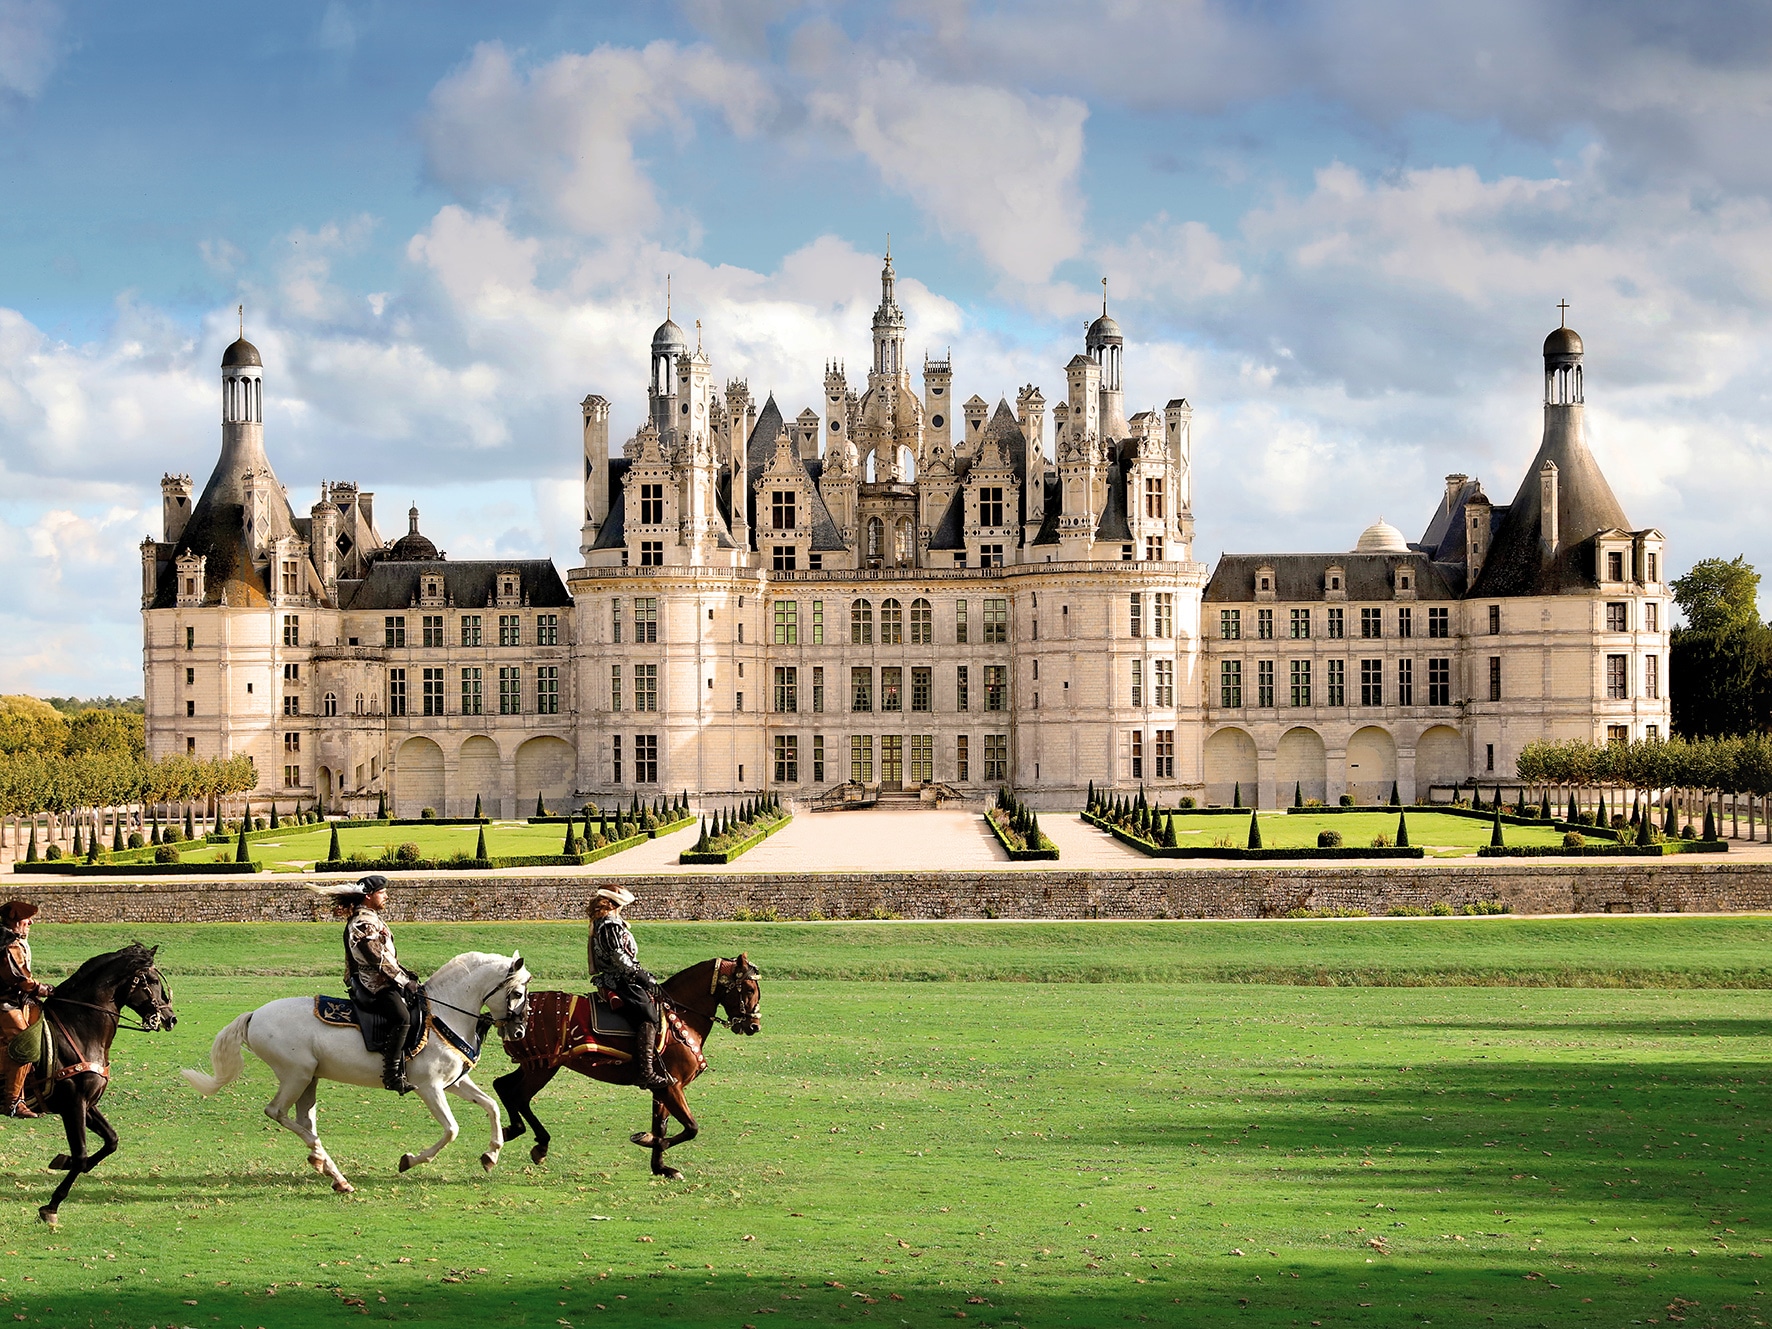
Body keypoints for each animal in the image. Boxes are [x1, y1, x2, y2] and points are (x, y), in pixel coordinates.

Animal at [26, 949, 176, 1226]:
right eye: (152, 980)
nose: (171, 1018)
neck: (78, 1029)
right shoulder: (73, 1105)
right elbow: (81, 1155)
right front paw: (52, 1205)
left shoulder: (88, 1104)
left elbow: (111, 1141)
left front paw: (62, 1161)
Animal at [181, 949, 524, 1190]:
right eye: (518, 993)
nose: (519, 1031)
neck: (442, 1015)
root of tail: (254, 1015)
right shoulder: (430, 1087)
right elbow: (451, 1129)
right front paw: (409, 1161)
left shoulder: (453, 1083)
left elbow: (491, 1106)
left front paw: (491, 1155)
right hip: (297, 1075)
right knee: (277, 1112)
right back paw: (326, 1164)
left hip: (309, 1079)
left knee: (305, 1122)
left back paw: (330, 1170)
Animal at [496, 949, 758, 1183]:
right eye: (749, 989)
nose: (754, 1026)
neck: (682, 1015)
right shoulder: (671, 1086)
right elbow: (690, 1127)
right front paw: (648, 1141)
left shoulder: (663, 1089)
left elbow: (661, 1125)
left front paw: (661, 1167)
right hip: (543, 1067)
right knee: (519, 1096)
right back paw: (537, 1143)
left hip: (534, 1064)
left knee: (502, 1086)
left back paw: (513, 1131)